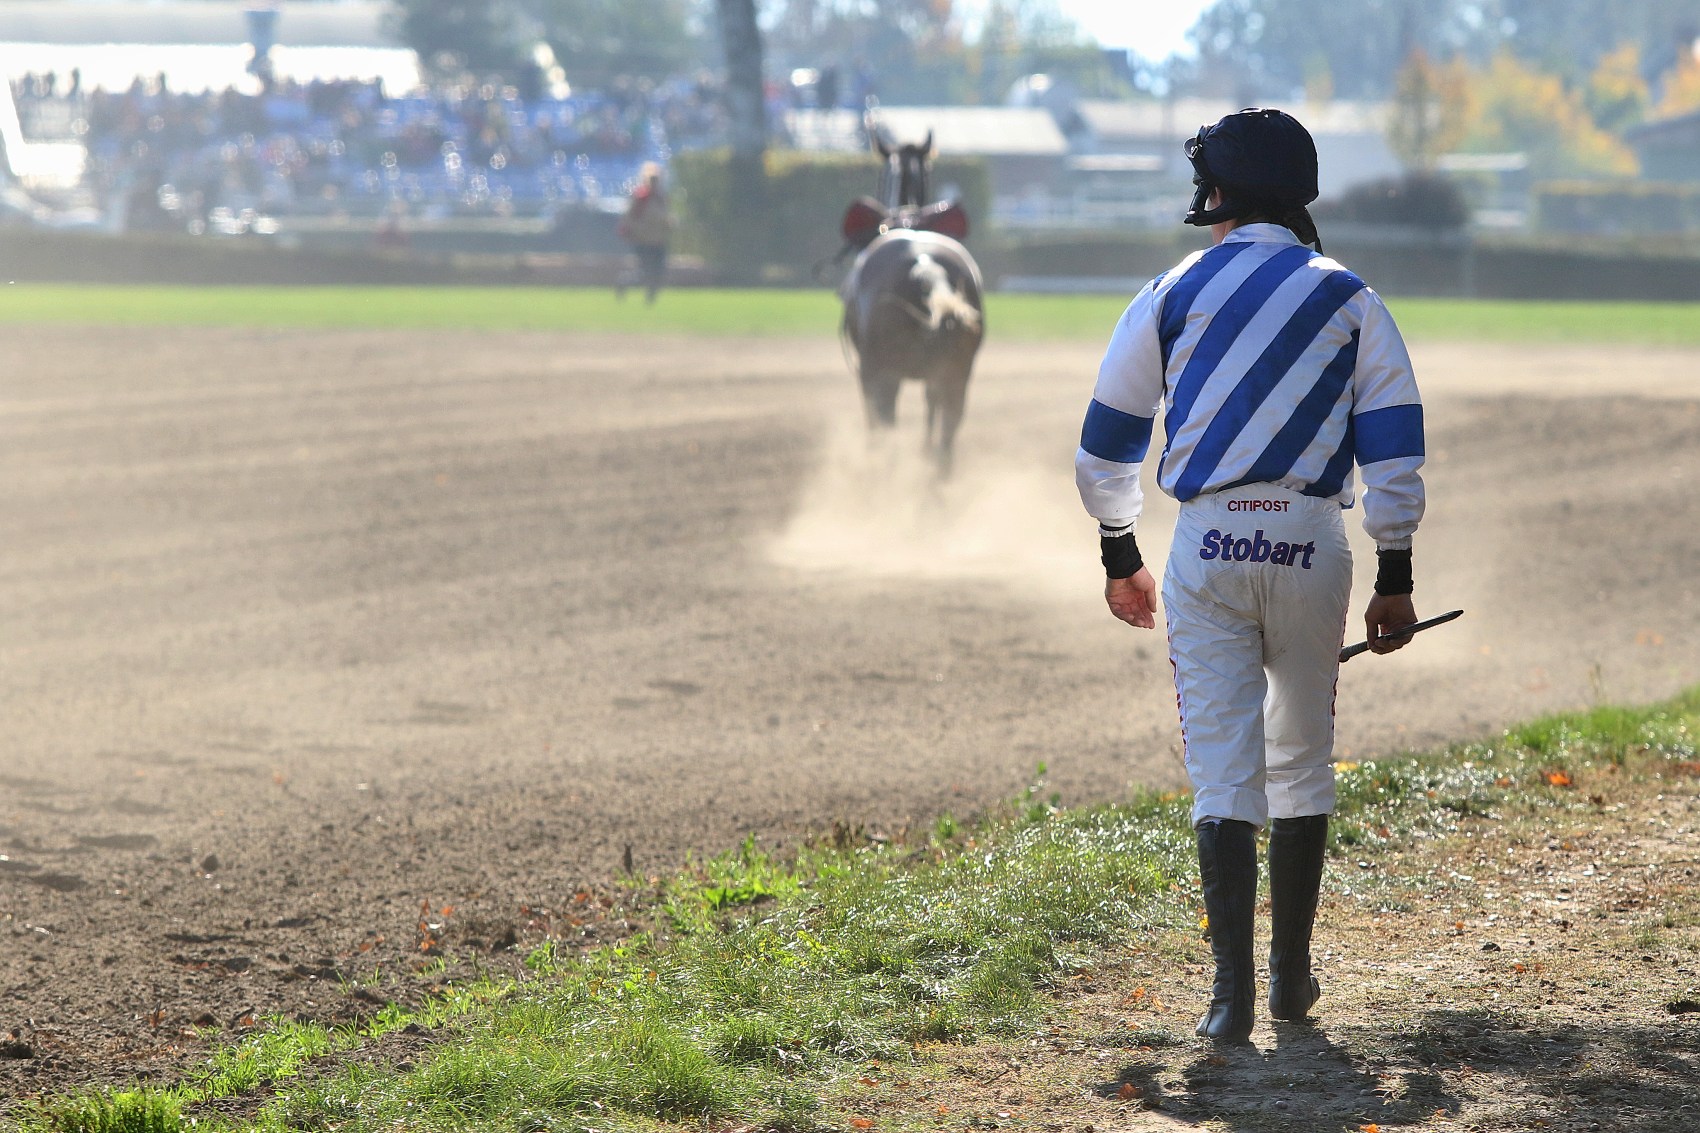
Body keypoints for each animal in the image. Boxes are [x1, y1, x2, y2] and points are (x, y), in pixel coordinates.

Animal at [839, 129, 984, 478]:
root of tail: (925, 264)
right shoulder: (935, 373)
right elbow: (931, 412)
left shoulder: (871, 373)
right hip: (957, 373)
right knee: (948, 427)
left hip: (882, 374)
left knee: (884, 426)